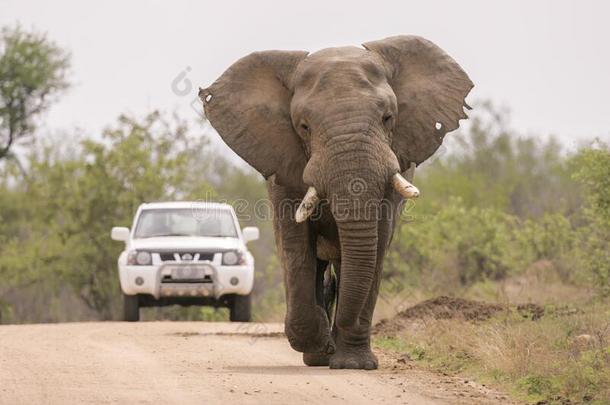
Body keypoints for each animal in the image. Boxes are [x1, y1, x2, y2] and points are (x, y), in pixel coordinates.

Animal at [200, 35, 470, 370]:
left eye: (388, 118)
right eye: (304, 127)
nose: (336, 332)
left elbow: (375, 249)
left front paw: (355, 364)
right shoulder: (283, 170)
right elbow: (295, 247)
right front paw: (319, 345)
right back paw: (320, 351)